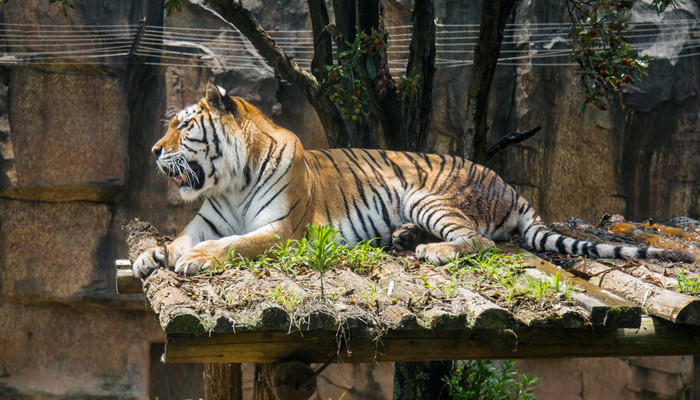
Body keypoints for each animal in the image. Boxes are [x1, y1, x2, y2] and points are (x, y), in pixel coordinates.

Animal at [131, 83, 696, 280]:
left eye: (182, 125)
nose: (153, 150)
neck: (228, 180)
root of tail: (511, 187)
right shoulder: (205, 221)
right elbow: (179, 237)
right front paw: (150, 255)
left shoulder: (283, 231)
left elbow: (236, 244)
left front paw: (194, 260)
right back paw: (404, 237)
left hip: (428, 194)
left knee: (479, 243)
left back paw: (431, 250)